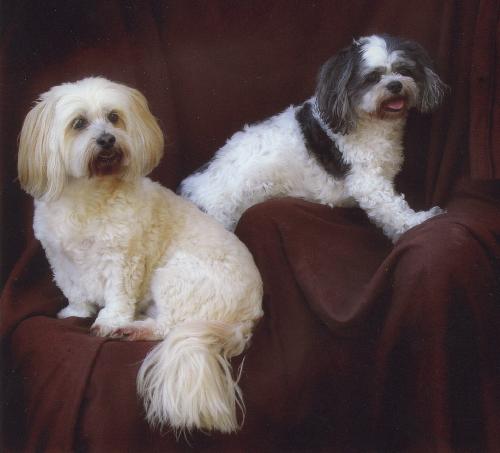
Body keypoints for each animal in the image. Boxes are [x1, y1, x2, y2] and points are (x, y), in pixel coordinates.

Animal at [181, 34, 450, 242]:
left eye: (404, 70)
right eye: (372, 78)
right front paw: (419, 221)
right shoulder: (367, 181)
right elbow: (392, 208)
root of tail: (191, 194)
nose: (395, 85)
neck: (373, 123)